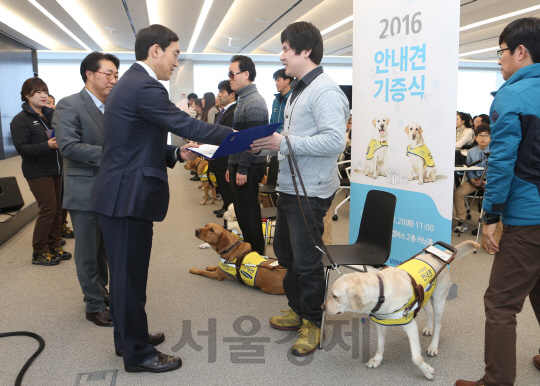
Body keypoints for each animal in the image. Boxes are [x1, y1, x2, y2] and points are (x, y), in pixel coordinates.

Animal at [320, 240, 476, 382]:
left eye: (335, 296)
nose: (322, 307)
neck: (381, 293)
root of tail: (436, 255)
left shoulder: (411, 326)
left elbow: (416, 357)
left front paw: (427, 372)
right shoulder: (381, 325)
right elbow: (380, 345)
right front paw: (377, 359)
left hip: (439, 300)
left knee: (438, 323)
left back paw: (433, 346)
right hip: (424, 296)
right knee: (429, 311)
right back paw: (429, 328)